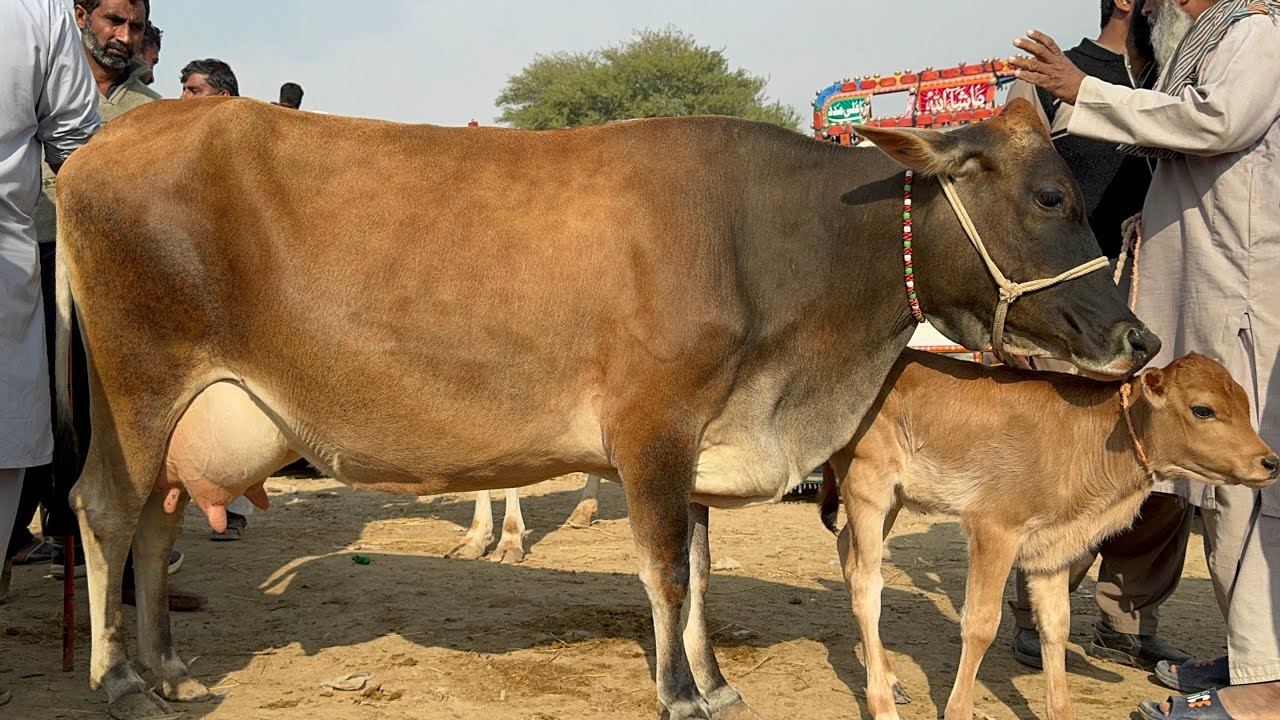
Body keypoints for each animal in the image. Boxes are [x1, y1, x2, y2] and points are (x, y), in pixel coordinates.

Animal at [52, 97, 1157, 719]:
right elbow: (663, 571)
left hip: (177, 410)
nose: (1138, 338)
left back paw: (165, 668)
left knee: (155, 524)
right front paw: (677, 694)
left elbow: (700, 572)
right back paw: (115, 682)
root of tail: (117, 135)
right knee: (105, 510)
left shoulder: (706, 441)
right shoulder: (651, 431)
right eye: (1051, 197)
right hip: (138, 384)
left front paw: (713, 681)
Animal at [817, 350, 1278, 720]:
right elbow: (981, 624)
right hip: (868, 483)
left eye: (1245, 404)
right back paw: (882, 701)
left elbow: (1056, 627)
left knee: (846, 551)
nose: (1270, 462)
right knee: (867, 582)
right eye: (1203, 410)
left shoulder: (1053, 549)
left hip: (893, 498)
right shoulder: (994, 529)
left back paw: (889, 679)